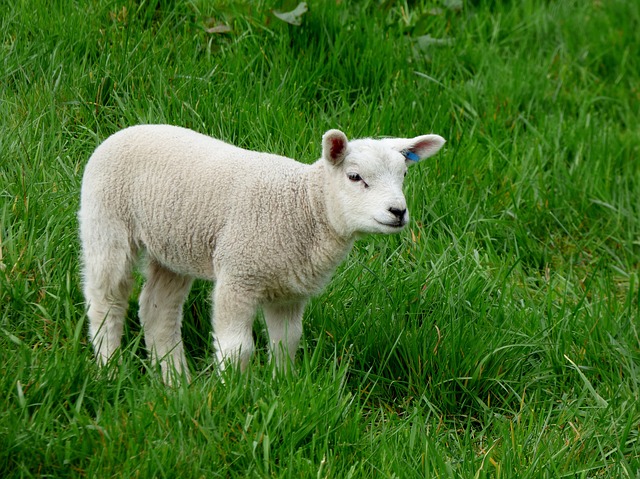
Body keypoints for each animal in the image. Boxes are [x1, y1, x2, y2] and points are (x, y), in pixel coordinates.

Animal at [79, 125, 445, 382]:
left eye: (404, 174)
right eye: (355, 177)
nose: (398, 211)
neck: (305, 206)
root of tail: (124, 131)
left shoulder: (289, 290)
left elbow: (287, 341)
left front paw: (282, 386)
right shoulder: (238, 273)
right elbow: (237, 348)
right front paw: (234, 393)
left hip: (172, 245)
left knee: (158, 309)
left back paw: (176, 381)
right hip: (106, 224)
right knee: (106, 300)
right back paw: (109, 368)